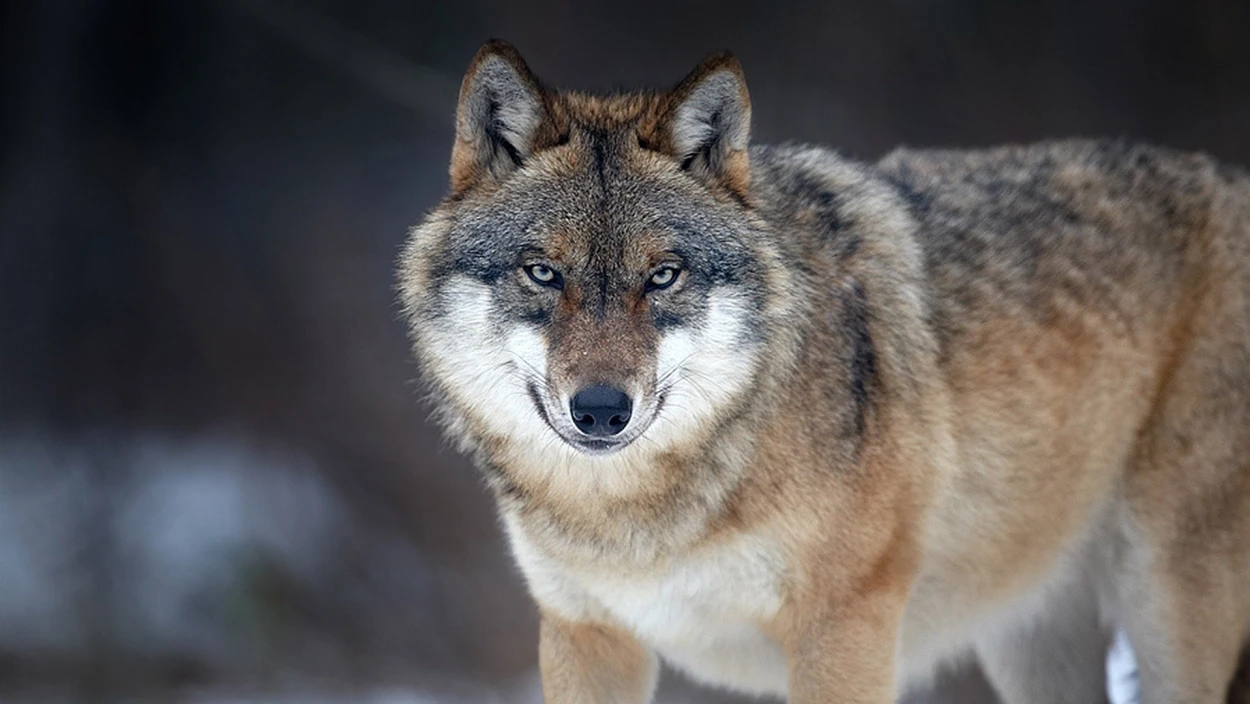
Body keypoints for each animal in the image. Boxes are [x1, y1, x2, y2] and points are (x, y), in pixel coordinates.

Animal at [396, 39, 1250, 704]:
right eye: (542, 273)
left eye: (663, 276)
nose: (601, 409)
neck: (640, 519)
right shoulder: (587, 634)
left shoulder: (844, 628)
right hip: (1030, 638)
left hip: (1165, 607)